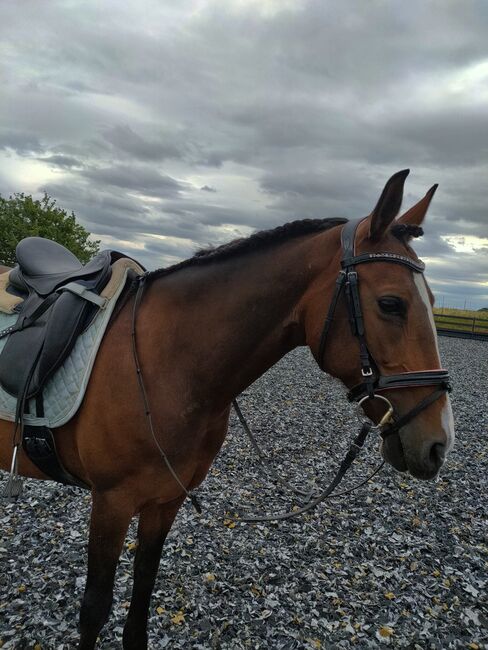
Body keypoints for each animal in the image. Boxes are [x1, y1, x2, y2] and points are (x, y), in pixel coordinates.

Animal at [0, 170, 454, 644]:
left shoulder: (164, 501)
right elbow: (94, 608)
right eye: (391, 304)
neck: (163, 362)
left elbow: (141, 595)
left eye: (433, 303)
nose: (439, 443)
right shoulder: (111, 503)